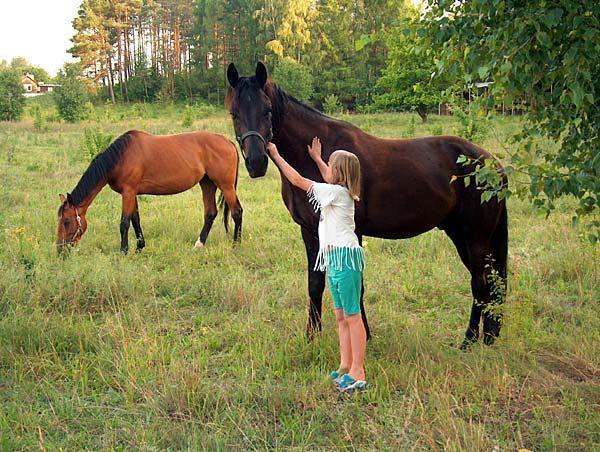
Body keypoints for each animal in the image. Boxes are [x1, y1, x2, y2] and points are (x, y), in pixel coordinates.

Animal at [56, 131, 243, 254]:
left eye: (66, 221)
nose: (60, 249)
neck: (121, 157)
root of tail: (228, 142)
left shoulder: (128, 192)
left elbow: (124, 223)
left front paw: (123, 251)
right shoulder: (132, 193)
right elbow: (135, 220)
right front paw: (139, 247)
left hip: (225, 185)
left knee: (237, 212)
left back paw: (236, 245)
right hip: (207, 184)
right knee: (210, 213)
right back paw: (198, 245)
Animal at [227, 61, 508, 348]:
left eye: (267, 111)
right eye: (234, 114)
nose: (257, 162)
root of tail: (492, 163)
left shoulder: (353, 231)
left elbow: (356, 284)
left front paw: (362, 334)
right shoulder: (310, 231)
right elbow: (315, 283)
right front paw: (312, 336)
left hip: (475, 238)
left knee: (480, 283)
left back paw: (469, 341)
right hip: (461, 235)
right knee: (488, 283)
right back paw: (487, 337)